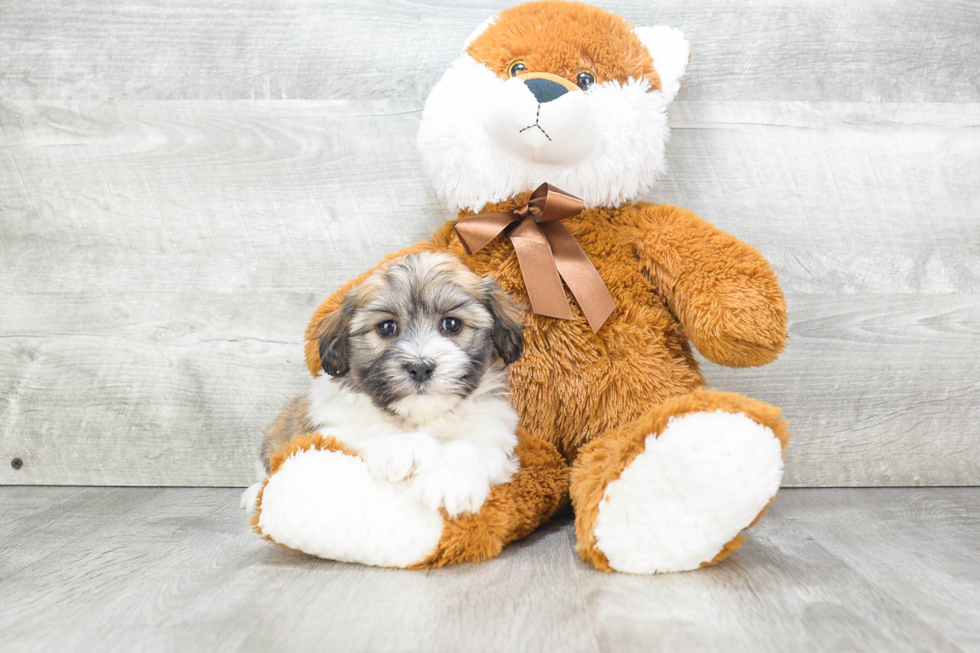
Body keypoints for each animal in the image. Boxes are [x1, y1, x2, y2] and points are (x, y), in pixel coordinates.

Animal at [241, 252, 524, 516]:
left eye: (452, 324)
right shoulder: (332, 426)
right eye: (387, 327)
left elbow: (471, 445)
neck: (419, 417)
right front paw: (404, 446)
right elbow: (369, 427)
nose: (420, 367)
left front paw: (451, 478)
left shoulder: (492, 428)